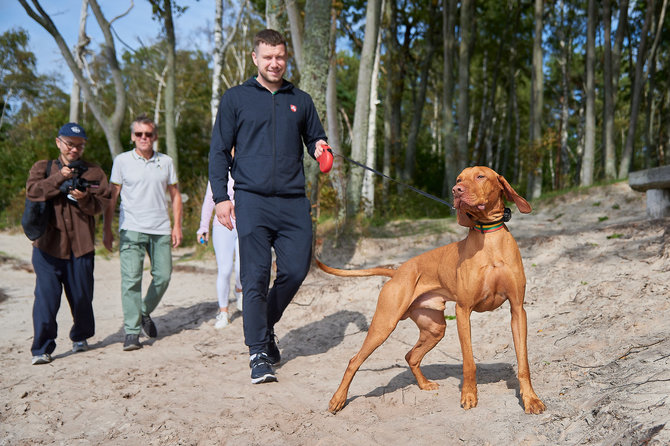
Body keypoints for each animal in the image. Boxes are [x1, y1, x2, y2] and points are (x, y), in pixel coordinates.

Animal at [318, 166, 544, 414]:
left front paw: (531, 399)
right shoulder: (463, 311)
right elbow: (469, 363)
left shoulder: (517, 310)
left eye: (480, 176)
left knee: (411, 355)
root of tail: (397, 272)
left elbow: (523, 363)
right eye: (459, 178)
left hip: (435, 328)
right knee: (354, 360)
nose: (456, 190)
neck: (489, 239)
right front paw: (469, 396)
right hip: (383, 325)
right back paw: (338, 399)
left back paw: (424, 384)